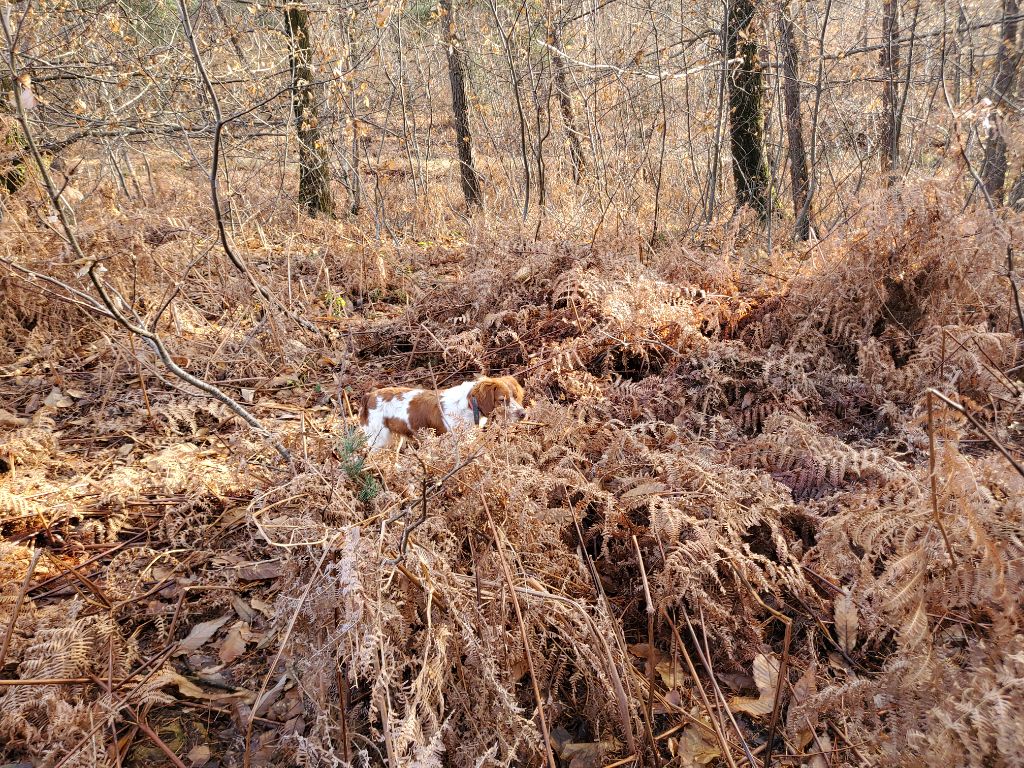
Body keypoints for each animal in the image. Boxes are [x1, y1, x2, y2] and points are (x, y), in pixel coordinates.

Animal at [358, 376, 524, 450]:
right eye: (502, 400)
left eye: (516, 396)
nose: (523, 414)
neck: (469, 406)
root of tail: (369, 396)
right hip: (378, 440)